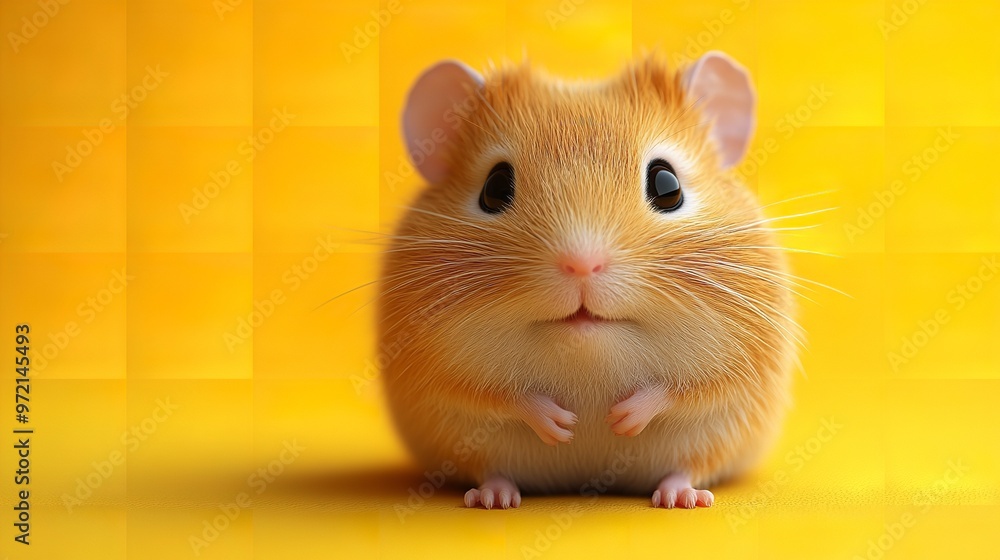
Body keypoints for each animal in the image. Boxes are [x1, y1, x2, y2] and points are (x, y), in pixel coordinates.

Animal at [378, 52, 798, 509]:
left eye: (667, 184)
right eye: (494, 187)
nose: (581, 265)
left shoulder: (742, 368)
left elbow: (684, 389)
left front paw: (621, 419)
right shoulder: (436, 373)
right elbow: (498, 395)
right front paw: (562, 425)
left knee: (687, 468)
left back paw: (680, 498)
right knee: (491, 469)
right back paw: (493, 499)